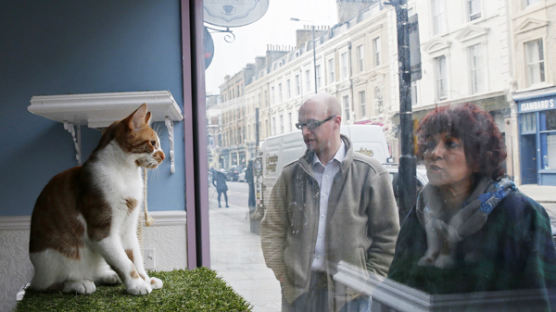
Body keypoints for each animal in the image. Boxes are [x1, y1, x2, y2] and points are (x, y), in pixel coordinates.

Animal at [29, 104, 163, 294]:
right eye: (152, 143)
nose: (163, 156)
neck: (126, 173)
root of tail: (36, 275)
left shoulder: (129, 228)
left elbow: (135, 256)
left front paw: (146, 279)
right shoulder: (102, 232)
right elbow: (125, 262)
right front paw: (137, 284)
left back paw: (108, 276)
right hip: (56, 259)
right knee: (51, 285)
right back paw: (80, 283)